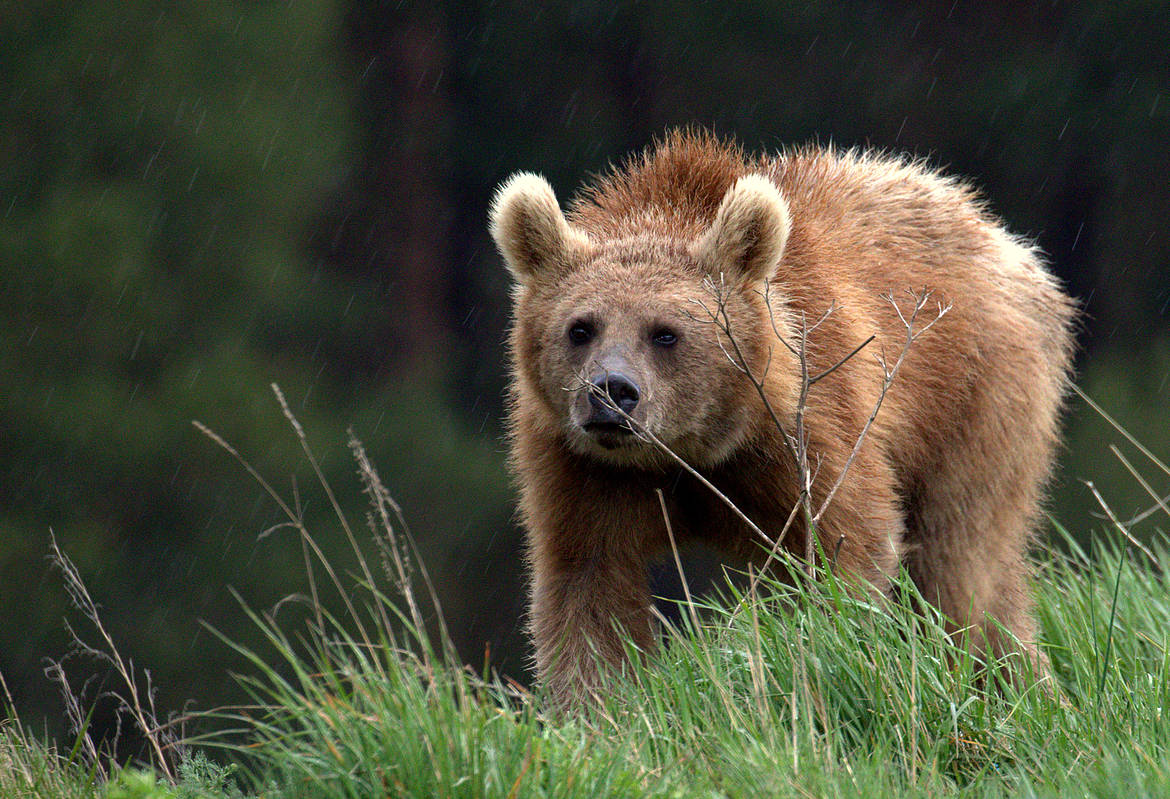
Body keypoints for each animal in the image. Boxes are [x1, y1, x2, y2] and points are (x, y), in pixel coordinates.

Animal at [486, 129, 1076, 706]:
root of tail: (1005, 241)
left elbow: (843, 549)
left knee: (957, 560)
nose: (611, 391)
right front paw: (599, 708)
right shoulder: (583, 469)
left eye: (665, 332)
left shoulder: (807, 431)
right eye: (581, 327)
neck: (694, 448)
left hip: (976, 399)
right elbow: (589, 589)